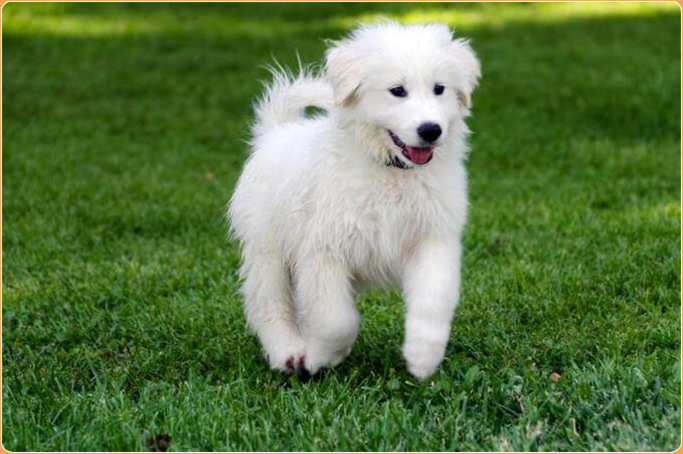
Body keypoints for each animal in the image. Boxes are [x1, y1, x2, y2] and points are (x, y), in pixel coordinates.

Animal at [228, 22, 480, 380]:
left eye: (439, 89)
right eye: (397, 90)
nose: (430, 130)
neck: (390, 170)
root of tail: (275, 132)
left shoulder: (433, 238)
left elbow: (433, 299)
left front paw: (422, 356)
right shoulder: (323, 249)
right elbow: (336, 320)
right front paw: (320, 357)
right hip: (267, 248)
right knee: (269, 303)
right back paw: (288, 351)